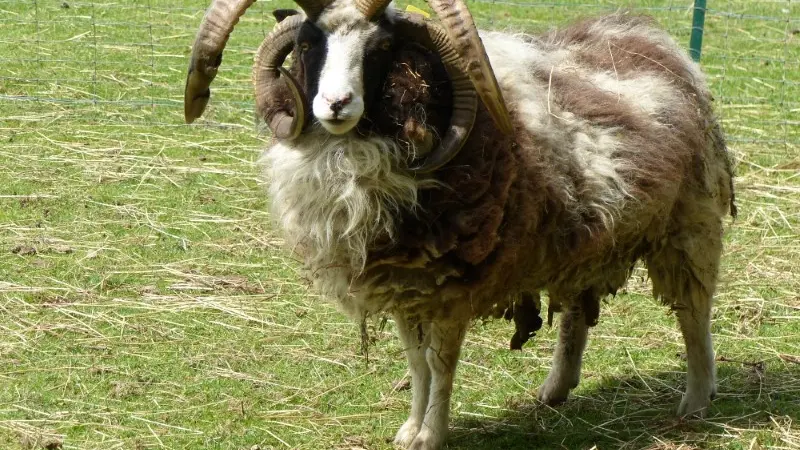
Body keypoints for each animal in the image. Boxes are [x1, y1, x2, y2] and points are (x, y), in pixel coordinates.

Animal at [184, 1, 737, 448]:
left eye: (382, 48)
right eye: (306, 44)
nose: (335, 104)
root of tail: (651, 36)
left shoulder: (450, 286)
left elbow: (439, 364)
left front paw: (432, 434)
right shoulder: (404, 283)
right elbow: (415, 361)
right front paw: (410, 429)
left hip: (690, 223)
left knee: (694, 312)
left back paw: (696, 399)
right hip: (586, 235)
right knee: (577, 312)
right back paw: (556, 389)